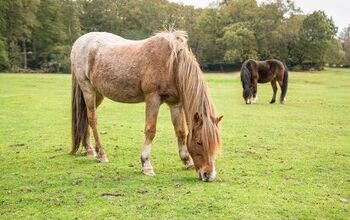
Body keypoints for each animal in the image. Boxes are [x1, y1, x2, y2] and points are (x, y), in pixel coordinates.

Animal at [70, 31, 223, 182]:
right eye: (199, 142)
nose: (209, 175)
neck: (172, 65)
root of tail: (80, 41)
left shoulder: (175, 103)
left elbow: (181, 131)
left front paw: (187, 161)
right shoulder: (152, 98)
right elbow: (151, 130)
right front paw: (146, 165)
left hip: (98, 94)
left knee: (85, 118)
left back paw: (90, 150)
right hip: (88, 89)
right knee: (92, 119)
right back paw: (101, 154)